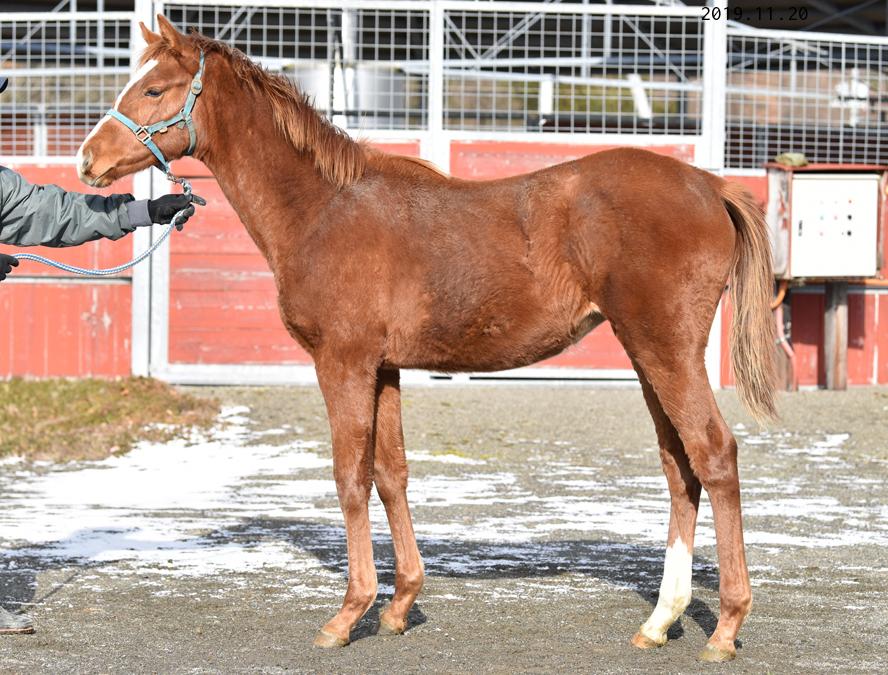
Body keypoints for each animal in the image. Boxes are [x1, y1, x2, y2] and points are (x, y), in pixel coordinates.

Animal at [77, 15, 776, 662]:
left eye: (154, 88)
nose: (88, 159)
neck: (324, 210)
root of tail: (712, 185)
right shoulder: (384, 367)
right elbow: (392, 474)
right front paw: (399, 604)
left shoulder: (344, 361)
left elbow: (350, 476)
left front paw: (348, 614)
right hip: (646, 354)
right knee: (679, 466)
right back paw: (659, 621)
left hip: (667, 350)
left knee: (714, 455)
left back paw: (726, 627)